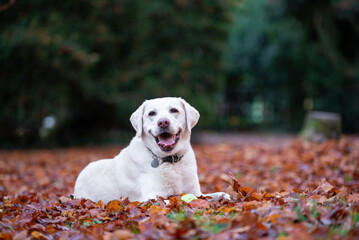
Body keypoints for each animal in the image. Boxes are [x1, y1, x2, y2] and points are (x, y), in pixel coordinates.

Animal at [74, 96, 229, 203]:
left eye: (174, 110)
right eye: (152, 113)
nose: (163, 122)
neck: (170, 161)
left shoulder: (195, 191)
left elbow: (215, 195)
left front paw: (222, 195)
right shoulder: (151, 196)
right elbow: (172, 200)